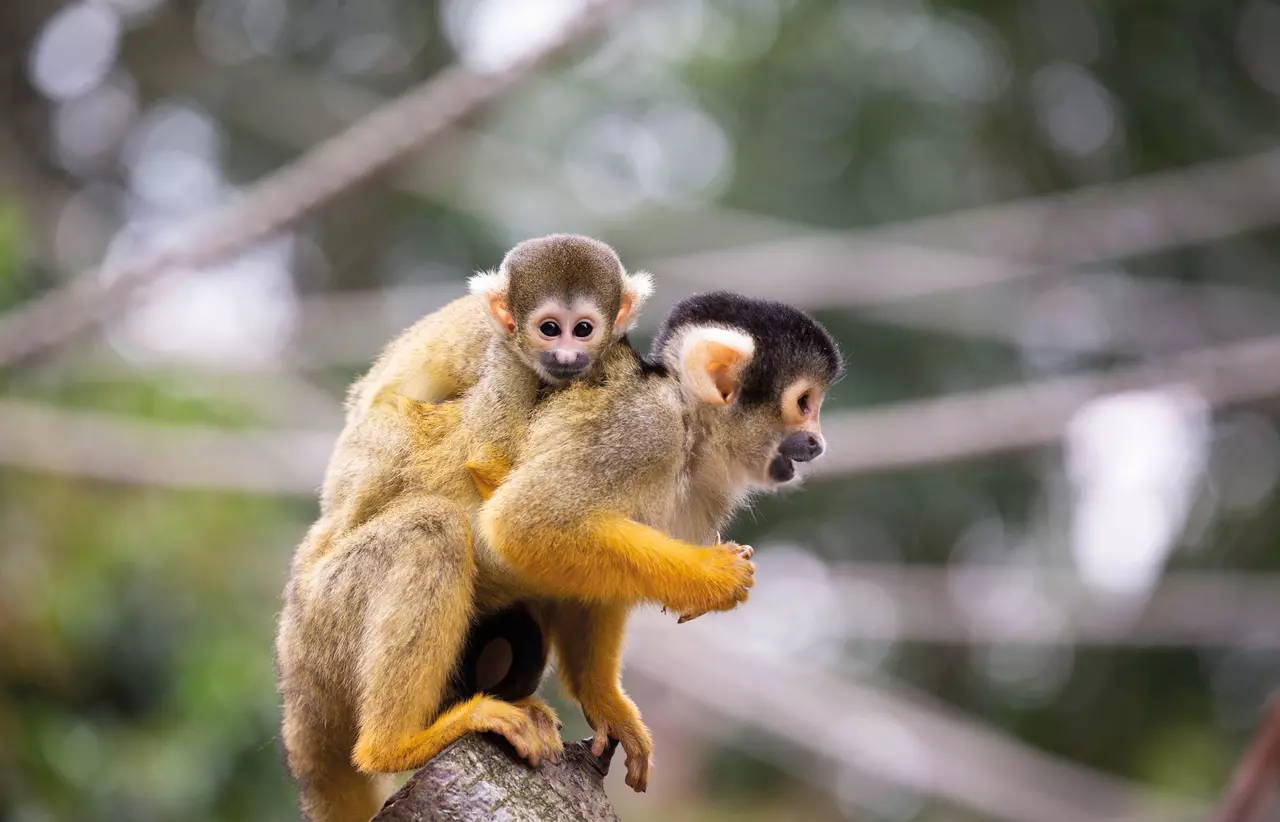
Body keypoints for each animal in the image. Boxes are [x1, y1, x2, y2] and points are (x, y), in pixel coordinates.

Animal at [274, 290, 840, 822]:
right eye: (804, 402)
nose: (817, 442)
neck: (688, 430)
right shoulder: (639, 431)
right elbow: (526, 522)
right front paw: (716, 578)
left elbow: (591, 576)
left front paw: (605, 702)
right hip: (329, 615)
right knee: (431, 530)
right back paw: (396, 745)